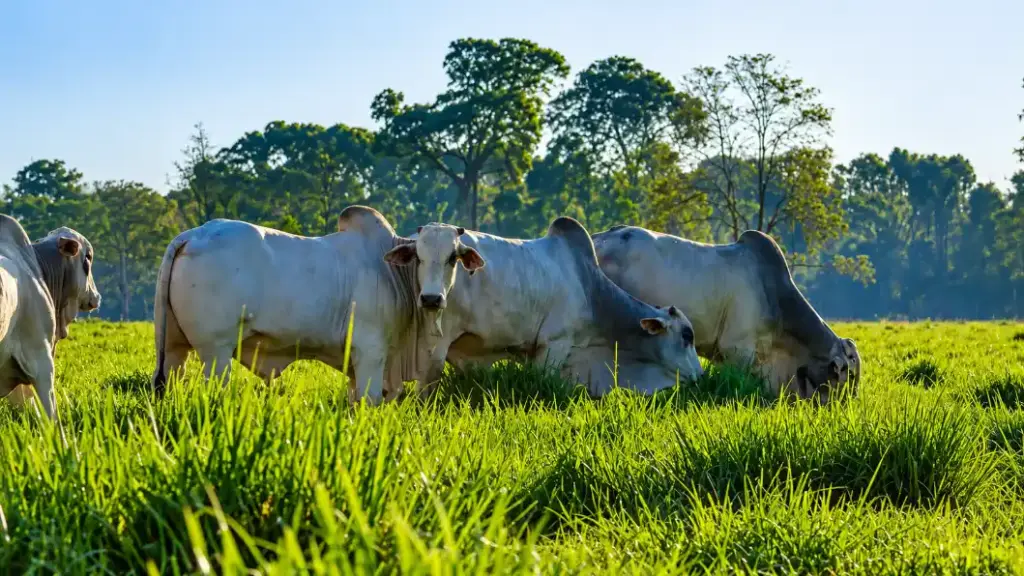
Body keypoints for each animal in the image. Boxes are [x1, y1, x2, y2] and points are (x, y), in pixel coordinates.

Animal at [151, 206, 452, 405]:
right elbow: (369, 399)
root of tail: (194, 234)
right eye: (420, 257)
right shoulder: (371, 351)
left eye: (452, 258)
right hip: (216, 350)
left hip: (174, 346)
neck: (389, 269)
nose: (432, 299)